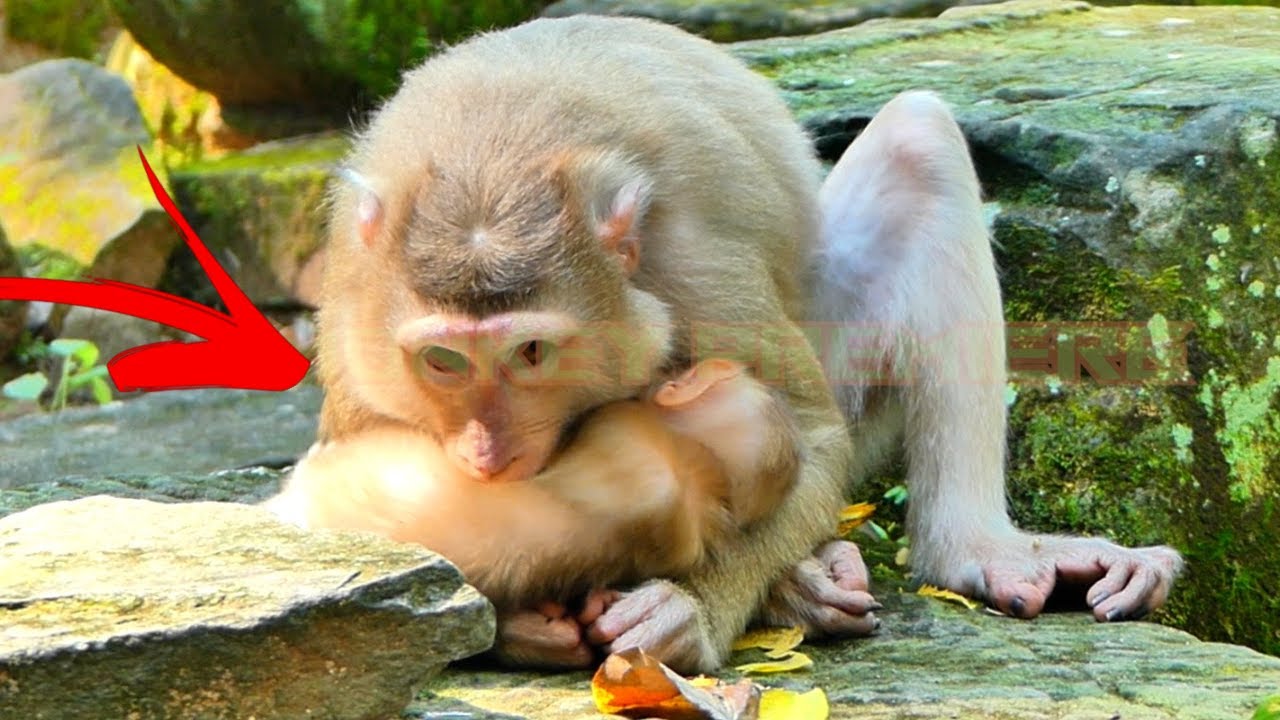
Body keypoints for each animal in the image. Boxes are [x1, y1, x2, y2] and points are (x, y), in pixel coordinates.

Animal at [306, 16, 1182, 672]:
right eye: (445, 360)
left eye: (530, 353)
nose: (486, 450)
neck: (494, 150)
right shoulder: (356, 308)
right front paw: (519, 624)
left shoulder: (693, 260)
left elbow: (814, 435)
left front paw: (687, 612)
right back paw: (807, 587)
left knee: (919, 140)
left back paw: (962, 551)